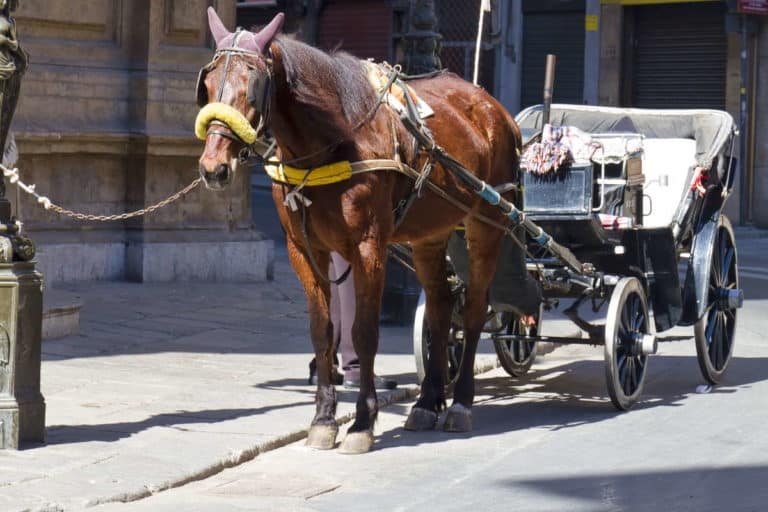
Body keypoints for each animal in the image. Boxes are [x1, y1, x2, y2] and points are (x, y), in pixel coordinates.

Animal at [196, 8, 523, 454]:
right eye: (209, 84)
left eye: (252, 89)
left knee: (473, 309)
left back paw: (459, 403)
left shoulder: (369, 247)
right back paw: (428, 401)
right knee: (441, 308)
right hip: (429, 235)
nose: (214, 169)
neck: (333, 142)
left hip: (486, 225)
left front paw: (363, 422)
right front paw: (323, 419)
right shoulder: (303, 249)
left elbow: (364, 332)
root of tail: (494, 108)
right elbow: (323, 332)